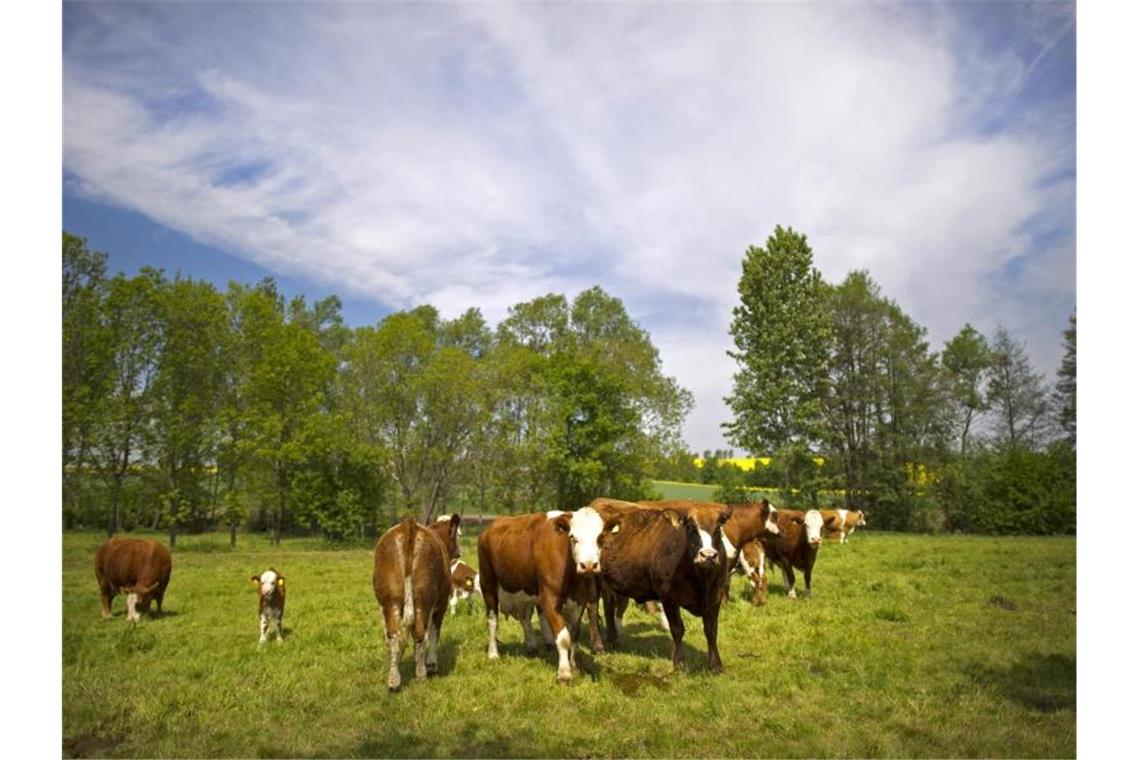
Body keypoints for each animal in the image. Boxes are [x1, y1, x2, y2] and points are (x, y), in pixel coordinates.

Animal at [373, 515, 462, 692]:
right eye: (458, 534)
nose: (459, 552)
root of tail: (409, 526)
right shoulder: (441, 604)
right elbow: (434, 633)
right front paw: (432, 665)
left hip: (390, 600)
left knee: (393, 635)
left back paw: (393, 680)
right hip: (423, 600)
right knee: (420, 634)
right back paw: (421, 674)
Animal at [476, 508, 611, 688]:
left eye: (600, 537)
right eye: (573, 537)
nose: (588, 565)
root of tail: (491, 526)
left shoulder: (579, 602)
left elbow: (574, 635)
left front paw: (574, 666)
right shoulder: (549, 601)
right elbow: (563, 637)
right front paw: (564, 674)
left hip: (524, 591)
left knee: (525, 617)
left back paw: (531, 646)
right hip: (488, 584)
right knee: (492, 620)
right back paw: (493, 653)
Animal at [592, 501, 734, 674]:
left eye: (718, 527)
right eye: (690, 527)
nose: (708, 555)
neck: (702, 581)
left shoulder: (715, 598)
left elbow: (711, 631)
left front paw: (716, 665)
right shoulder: (669, 598)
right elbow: (677, 629)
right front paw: (679, 662)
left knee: (610, 607)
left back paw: (613, 639)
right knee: (599, 610)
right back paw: (604, 643)